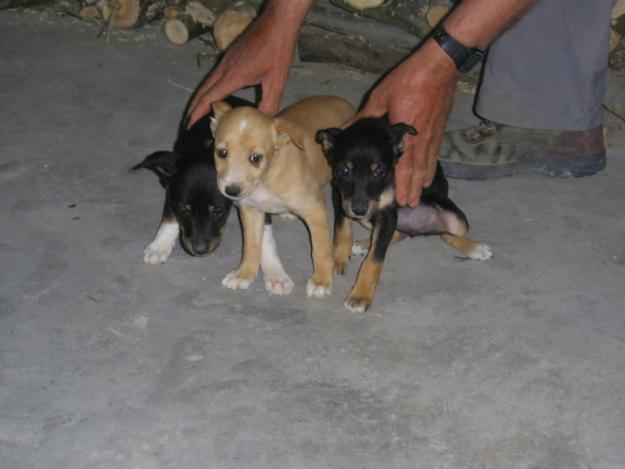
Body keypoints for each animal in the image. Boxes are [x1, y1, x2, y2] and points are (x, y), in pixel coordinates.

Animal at [133, 98, 292, 292]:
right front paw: (159, 246)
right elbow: (169, 216)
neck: (208, 149)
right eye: (184, 211)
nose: (199, 250)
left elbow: (266, 237)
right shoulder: (173, 190)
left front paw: (276, 275)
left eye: (218, 212)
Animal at [211, 95, 354, 296]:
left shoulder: (315, 208)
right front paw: (244, 273)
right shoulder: (251, 210)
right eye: (222, 152)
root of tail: (344, 102)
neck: (266, 179)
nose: (231, 191)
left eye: (256, 157)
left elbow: (321, 250)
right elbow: (251, 246)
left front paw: (321, 281)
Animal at [316, 117, 492, 310]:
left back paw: (476, 249)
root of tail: (417, 229)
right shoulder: (341, 197)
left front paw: (360, 295)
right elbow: (342, 229)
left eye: (379, 172)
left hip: (455, 219)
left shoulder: (386, 214)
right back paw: (363, 245)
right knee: (399, 233)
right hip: (371, 218)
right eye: (344, 171)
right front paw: (338, 259)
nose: (359, 211)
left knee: (446, 234)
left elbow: (375, 259)